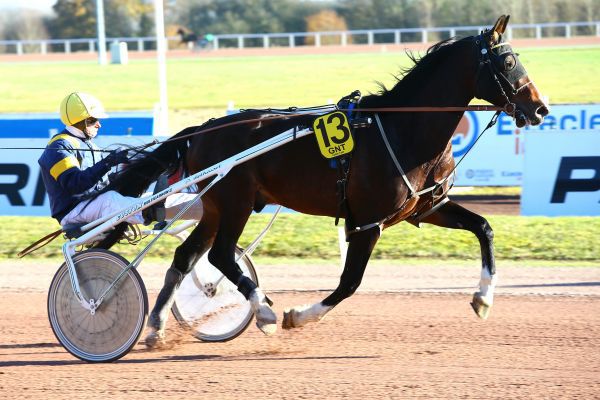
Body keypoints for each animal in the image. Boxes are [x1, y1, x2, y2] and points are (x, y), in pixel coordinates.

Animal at [101, 15, 548, 346]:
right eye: (508, 63)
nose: (541, 108)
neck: (403, 130)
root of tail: (204, 129)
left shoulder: (425, 207)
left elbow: (484, 227)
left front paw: (483, 298)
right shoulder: (368, 223)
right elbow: (350, 282)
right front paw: (297, 315)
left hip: (214, 207)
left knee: (187, 256)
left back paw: (157, 326)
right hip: (236, 202)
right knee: (221, 255)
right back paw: (263, 311)